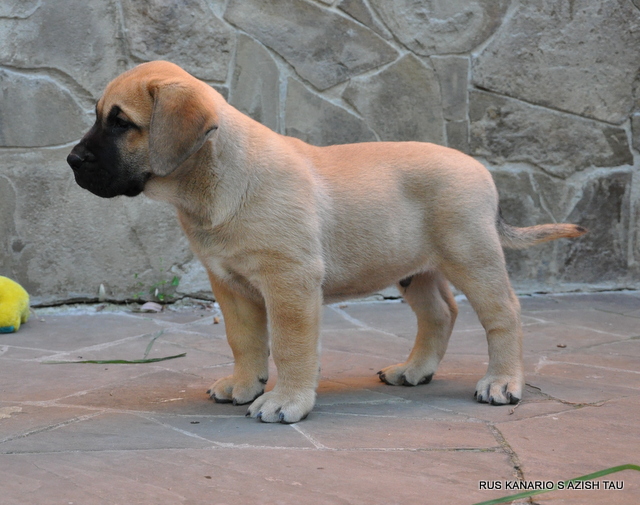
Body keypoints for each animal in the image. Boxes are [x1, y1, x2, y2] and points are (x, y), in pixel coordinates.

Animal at [66, 60, 584, 422]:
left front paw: (286, 401)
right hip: (414, 268)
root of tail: (481, 169)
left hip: (471, 256)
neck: (215, 179)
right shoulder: (230, 284)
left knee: (503, 315)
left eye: (120, 122)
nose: (72, 160)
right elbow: (244, 340)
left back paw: (502, 382)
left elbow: (291, 345)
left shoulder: (289, 282)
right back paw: (414, 370)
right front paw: (245, 383)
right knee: (441, 313)